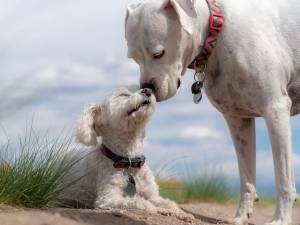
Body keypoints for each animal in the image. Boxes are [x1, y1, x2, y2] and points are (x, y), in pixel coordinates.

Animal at [69, 88, 189, 220]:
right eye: (123, 94)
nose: (147, 89)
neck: (130, 162)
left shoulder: (152, 194)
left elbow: (168, 203)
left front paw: (181, 213)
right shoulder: (107, 198)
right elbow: (139, 202)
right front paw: (158, 209)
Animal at [125, 0, 298, 225]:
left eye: (158, 53)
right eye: (133, 58)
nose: (147, 88)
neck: (217, 31)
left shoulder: (275, 109)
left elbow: (283, 177)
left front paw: (281, 219)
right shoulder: (238, 121)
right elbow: (246, 177)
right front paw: (240, 217)